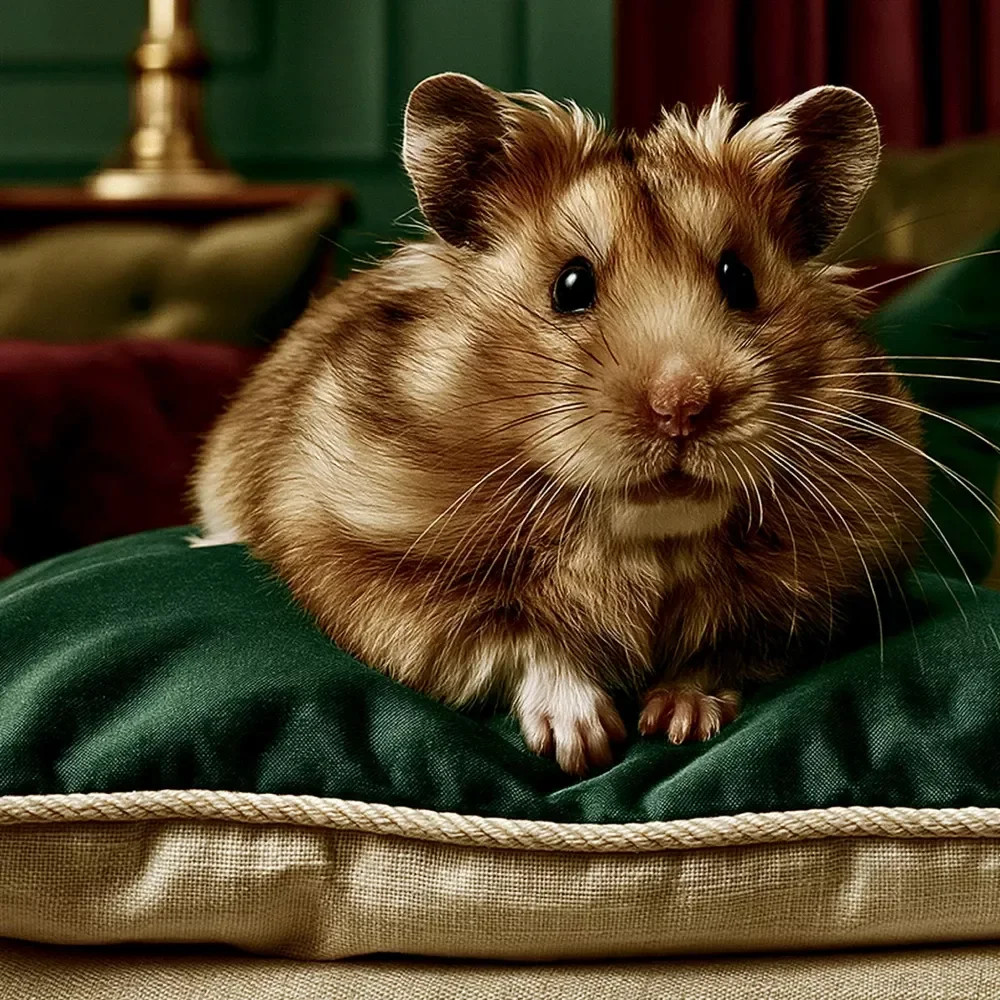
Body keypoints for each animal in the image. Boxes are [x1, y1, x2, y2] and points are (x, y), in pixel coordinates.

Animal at [193, 73, 928, 775]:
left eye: (739, 279)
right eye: (570, 286)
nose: (682, 406)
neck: (642, 540)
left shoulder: (822, 593)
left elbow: (717, 652)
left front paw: (679, 721)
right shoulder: (372, 574)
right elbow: (525, 642)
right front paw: (584, 744)